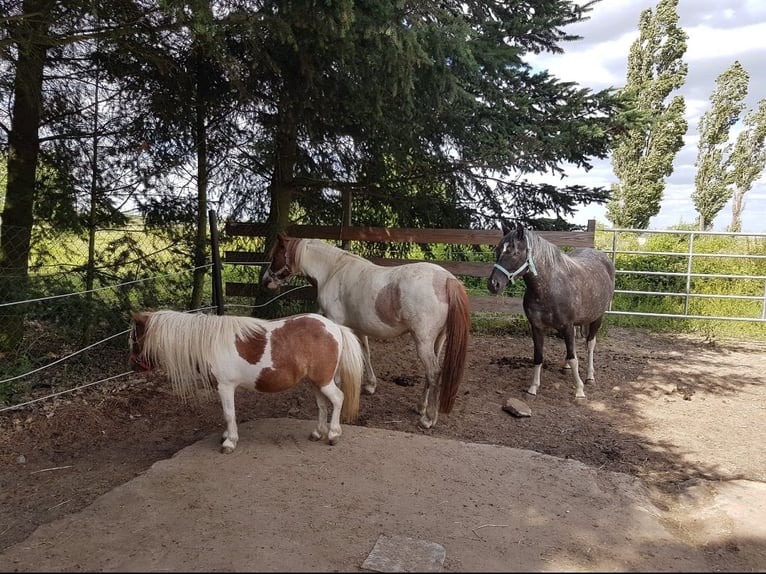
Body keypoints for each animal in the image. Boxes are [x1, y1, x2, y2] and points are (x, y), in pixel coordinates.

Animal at [128, 309, 365, 453]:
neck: (209, 342)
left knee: (338, 399)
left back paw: (333, 434)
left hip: (323, 381)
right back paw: (318, 432)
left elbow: (229, 414)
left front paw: (230, 442)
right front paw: (226, 435)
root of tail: (334, 327)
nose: (132, 366)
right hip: (314, 381)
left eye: (134, 337)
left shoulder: (225, 387)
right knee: (322, 405)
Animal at [262, 234, 471, 429]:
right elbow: (365, 354)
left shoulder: (337, 323)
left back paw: (428, 419)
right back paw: (421, 407)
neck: (333, 271)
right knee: (431, 374)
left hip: (423, 341)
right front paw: (370, 386)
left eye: (276, 255)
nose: (265, 281)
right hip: (438, 340)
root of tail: (447, 279)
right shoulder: (358, 328)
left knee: (434, 373)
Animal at [487, 222, 615, 399]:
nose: (493, 284)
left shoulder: (567, 326)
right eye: (498, 251)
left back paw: (590, 377)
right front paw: (533, 387)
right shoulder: (537, 327)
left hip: (597, 318)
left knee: (590, 344)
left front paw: (579, 390)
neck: (549, 287)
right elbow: (539, 356)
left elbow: (573, 357)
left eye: (515, 252)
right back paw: (566, 368)